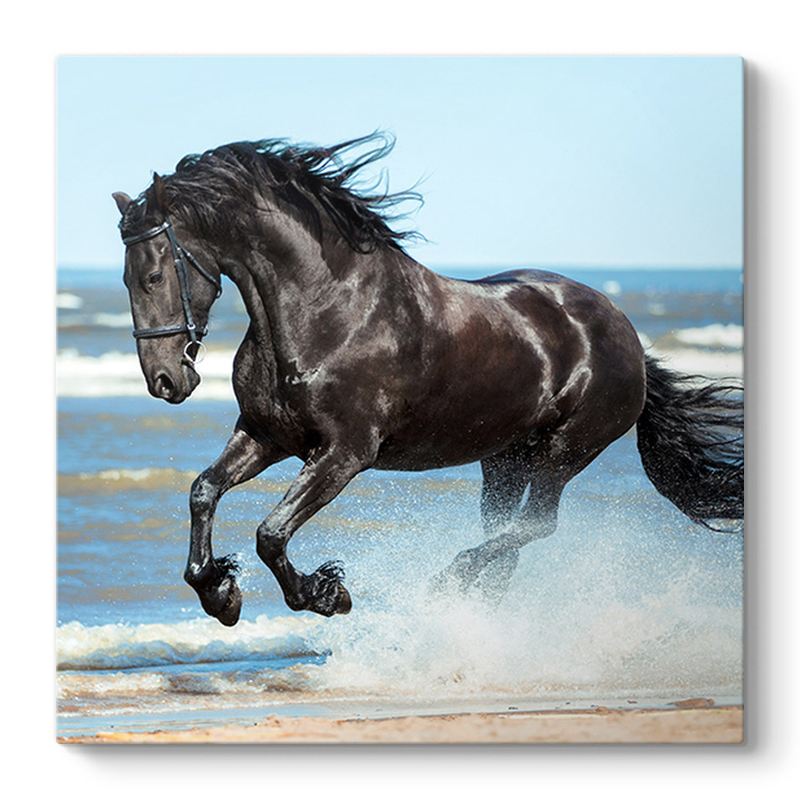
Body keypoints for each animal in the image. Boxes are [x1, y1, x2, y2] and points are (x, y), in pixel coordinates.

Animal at [113, 134, 744, 627]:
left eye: (152, 275)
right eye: (124, 278)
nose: (165, 380)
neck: (327, 309)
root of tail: (627, 335)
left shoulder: (343, 454)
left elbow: (271, 532)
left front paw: (326, 593)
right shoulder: (267, 435)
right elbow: (203, 491)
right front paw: (219, 592)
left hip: (565, 451)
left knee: (535, 527)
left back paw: (446, 586)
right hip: (505, 458)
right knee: (508, 537)